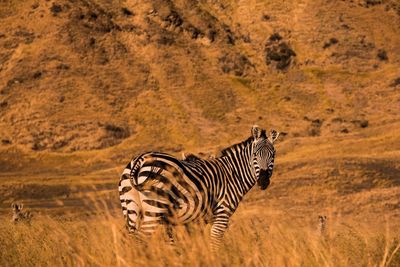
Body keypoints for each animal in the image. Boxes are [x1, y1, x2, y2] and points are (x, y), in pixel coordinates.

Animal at [119, 125, 280, 251]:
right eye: (255, 155)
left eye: (273, 155)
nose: (263, 181)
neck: (233, 174)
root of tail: (139, 159)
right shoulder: (222, 214)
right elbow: (215, 243)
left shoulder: (196, 221)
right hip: (155, 209)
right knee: (141, 239)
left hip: (131, 209)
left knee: (133, 239)